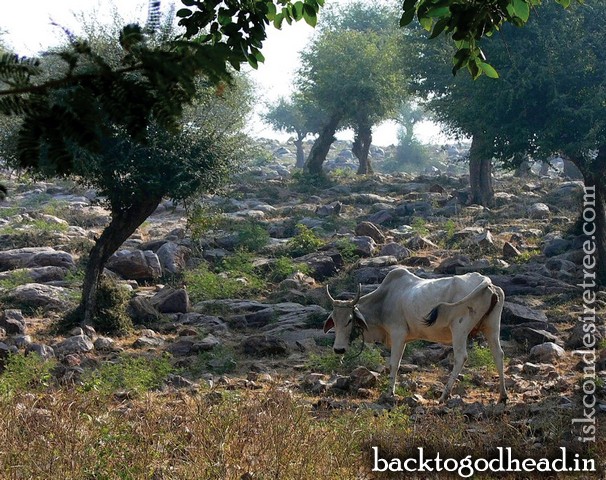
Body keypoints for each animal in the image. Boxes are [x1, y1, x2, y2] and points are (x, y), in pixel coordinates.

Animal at [326, 268, 510, 404]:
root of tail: (486, 281)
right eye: (333, 320)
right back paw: (503, 395)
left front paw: (389, 393)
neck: (384, 299)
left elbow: (394, 364)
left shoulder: (398, 333)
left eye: (350, 319)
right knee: (498, 355)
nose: (339, 349)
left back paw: (444, 395)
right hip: (491, 327)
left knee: (461, 357)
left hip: (459, 328)